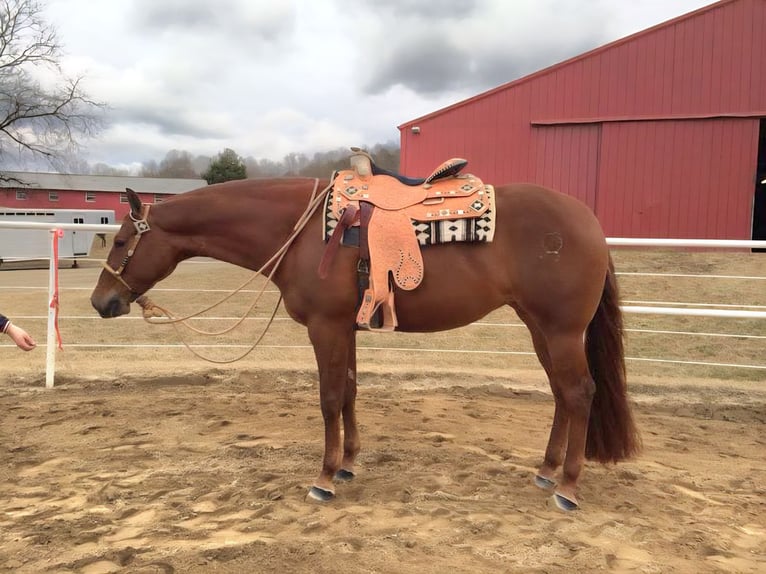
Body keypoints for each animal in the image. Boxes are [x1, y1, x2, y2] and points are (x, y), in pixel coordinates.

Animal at [90, 174, 640, 511]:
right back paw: (547, 470)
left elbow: (330, 398)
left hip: (561, 331)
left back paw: (567, 487)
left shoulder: (326, 328)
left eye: (119, 241)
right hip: (539, 327)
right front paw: (350, 464)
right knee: (561, 395)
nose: (101, 302)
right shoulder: (345, 330)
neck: (301, 232)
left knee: (579, 394)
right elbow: (350, 392)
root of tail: (590, 224)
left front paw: (325, 477)